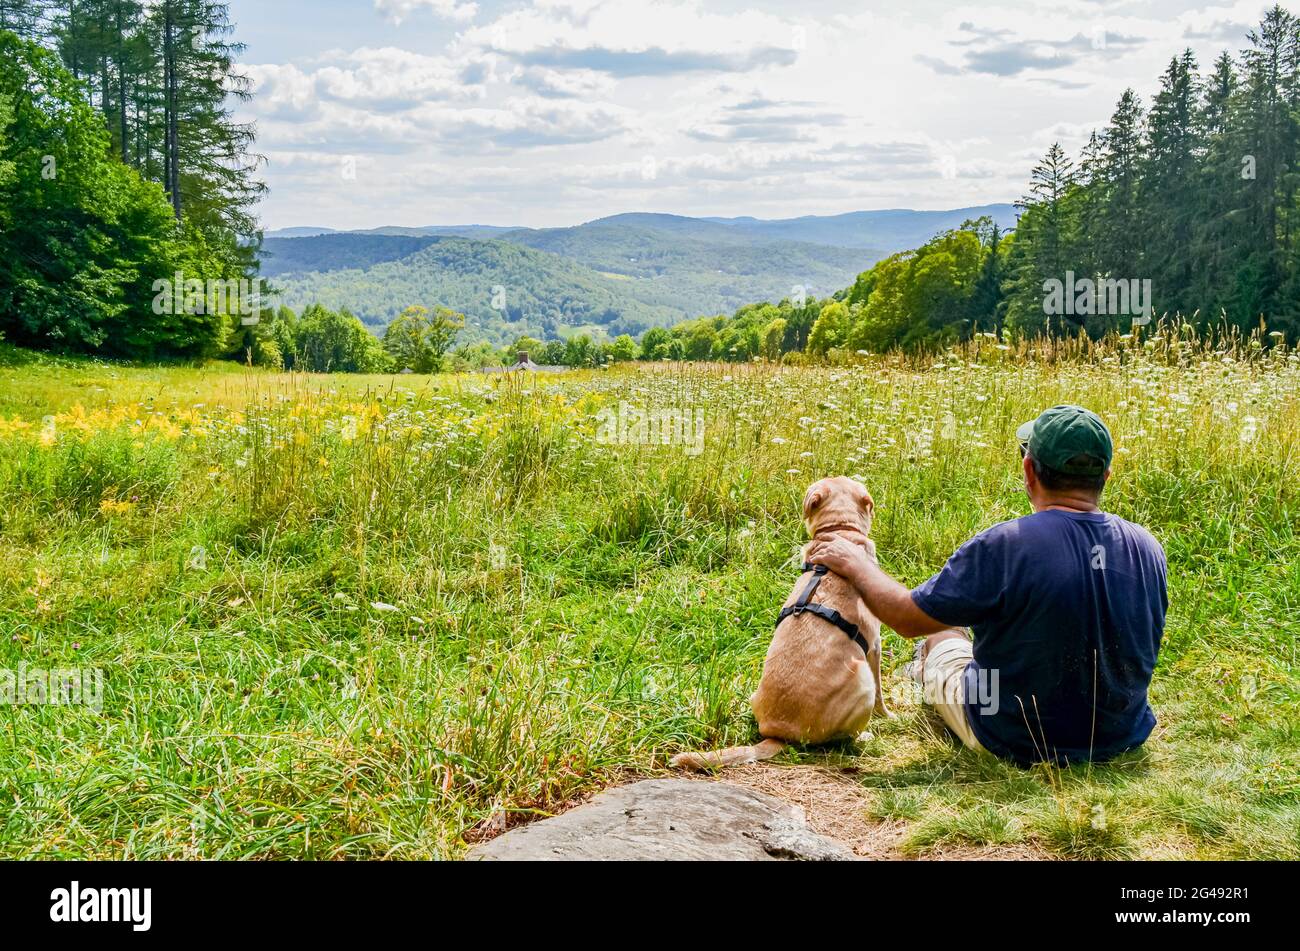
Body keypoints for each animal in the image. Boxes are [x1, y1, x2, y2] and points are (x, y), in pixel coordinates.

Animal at [670, 475, 894, 774]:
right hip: (862, 680)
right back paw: (864, 736)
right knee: (847, 735)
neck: (838, 531)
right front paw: (888, 715)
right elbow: (882, 692)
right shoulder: (875, 646)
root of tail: (779, 734)